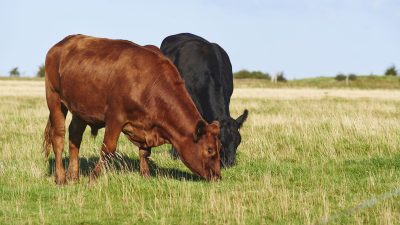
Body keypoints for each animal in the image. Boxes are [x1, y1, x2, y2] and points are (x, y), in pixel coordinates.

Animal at [43, 33, 222, 185]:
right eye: (210, 150)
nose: (218, 176)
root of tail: (61, 43)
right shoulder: (115, 116)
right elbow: (108, 148)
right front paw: (93, 179)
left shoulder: (146, 125)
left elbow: (145, 151)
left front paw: (146, 175)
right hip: (54, 98)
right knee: (58, 136)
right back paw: (61, 177)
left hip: (80, 108)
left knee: (75, 136)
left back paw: (74, 176)